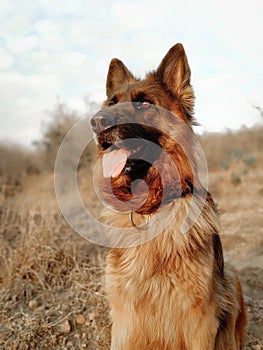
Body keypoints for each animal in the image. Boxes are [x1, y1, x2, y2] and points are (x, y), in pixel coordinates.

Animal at [91, 43, 248, 350]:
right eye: (111, 104)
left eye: (145, 104)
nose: (96, 122)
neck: (152, 209)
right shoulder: (124, 318)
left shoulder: (200, 320)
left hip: (232, 284)